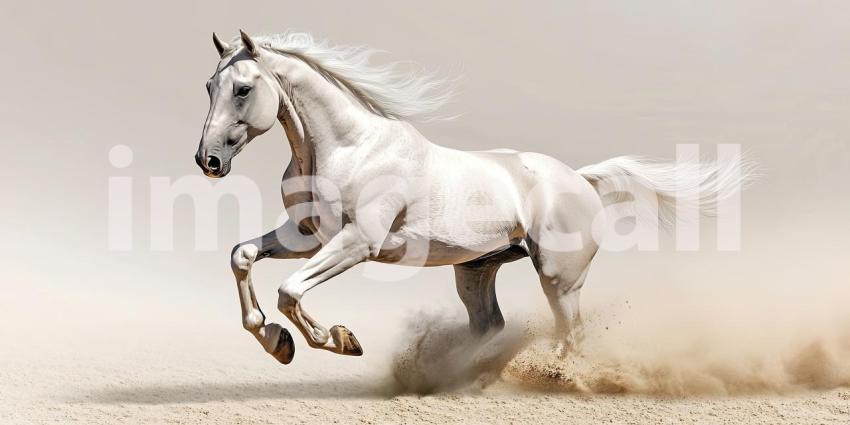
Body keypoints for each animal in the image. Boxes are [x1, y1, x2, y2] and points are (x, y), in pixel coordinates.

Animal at [194, 30, 747, 364]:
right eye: (208, 86)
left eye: (243, 89)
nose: (209, 161)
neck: (348, 147)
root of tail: (580, 180)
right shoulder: (307, 236)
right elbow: (242, 256)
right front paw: (276, 341)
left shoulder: (356, 242)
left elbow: (290, 291)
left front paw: (337, 340)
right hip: (476, 270)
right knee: (490, 324)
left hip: (559, 278)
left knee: (571, 332)